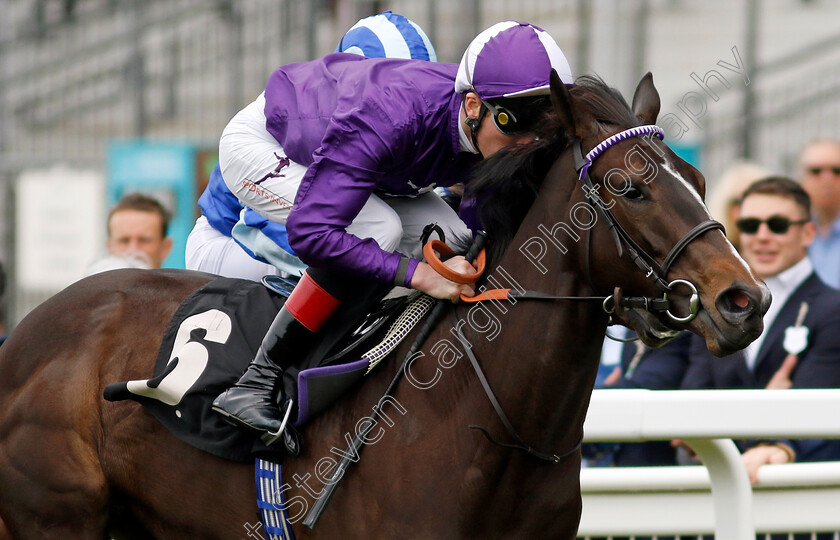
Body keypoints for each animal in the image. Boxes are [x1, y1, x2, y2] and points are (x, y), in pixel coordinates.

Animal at [0, 73, 772, 540]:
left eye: (700, 179)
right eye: (628, 187)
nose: (746, 299)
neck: (488, 425)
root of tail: (28, 331)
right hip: (54, 515)